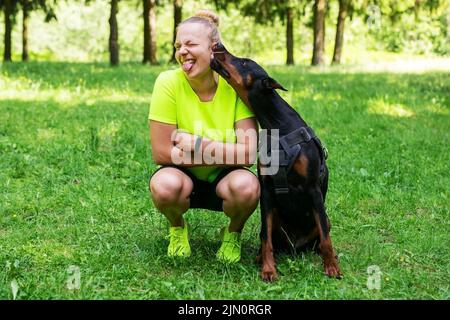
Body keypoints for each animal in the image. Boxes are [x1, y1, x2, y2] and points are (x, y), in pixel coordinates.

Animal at [211, 43, 342, 282]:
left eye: (244, 62)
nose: (218, 45)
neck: (278, 125)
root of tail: (295, 246)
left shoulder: (313, 189)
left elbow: (326, 238)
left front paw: (331, 267)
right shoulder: (266, 191)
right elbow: (266, 239)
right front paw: (268, 269)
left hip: (323, 218)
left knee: (322, 235)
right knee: (269, 236)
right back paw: (259, 257)